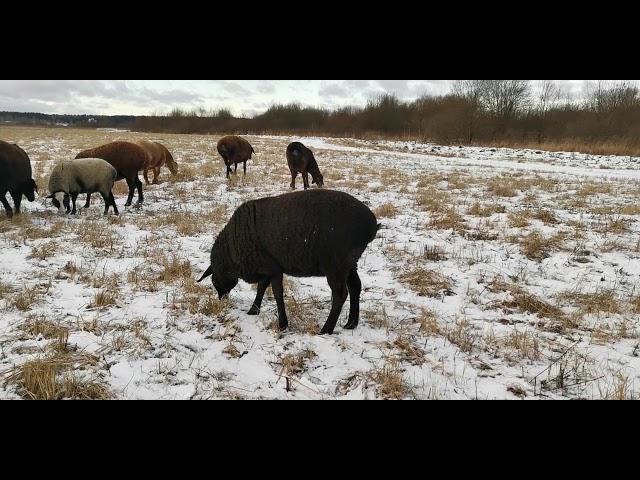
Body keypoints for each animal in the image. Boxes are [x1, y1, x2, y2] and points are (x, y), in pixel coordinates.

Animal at [195, 188, 376, 334]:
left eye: (213, 279)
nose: (221, 299)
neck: (232, 251)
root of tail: (371, 224)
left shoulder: (273, 268)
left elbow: (277, 294)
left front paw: (282, 324)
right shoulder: (266, 267)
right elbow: (261, 288)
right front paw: (253, 310)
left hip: (336, 264)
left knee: (340, 294)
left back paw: (326, 329)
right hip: (350, 263)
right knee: (355, 286)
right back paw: (351, 324)